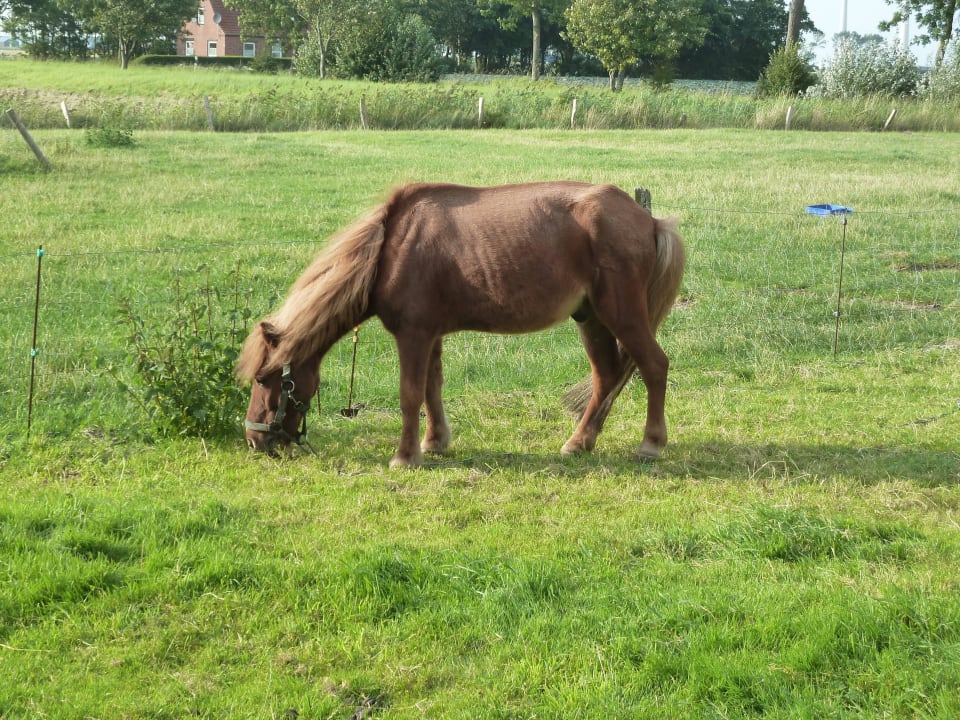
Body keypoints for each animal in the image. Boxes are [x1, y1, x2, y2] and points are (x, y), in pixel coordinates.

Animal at [237, 181, 685, 468]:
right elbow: (431, 389)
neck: (391, 249)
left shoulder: (413, 336)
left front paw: (406, 456)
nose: (254, 439)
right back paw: (579, 442)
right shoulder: (430, 335)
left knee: (654, 366)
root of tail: (648, 220)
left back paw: (650, 445)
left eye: (263, 379)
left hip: (621, 315)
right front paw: (435, 442)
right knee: (607, 375)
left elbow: (410, 394)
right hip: (590, 319)